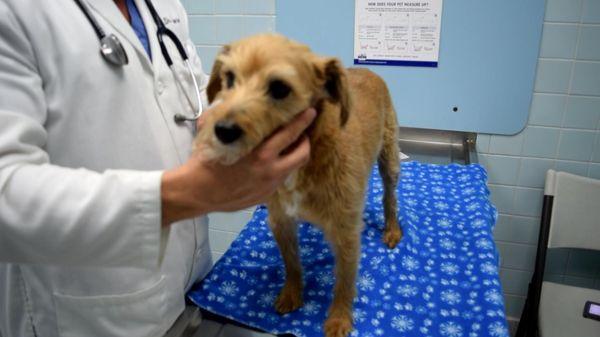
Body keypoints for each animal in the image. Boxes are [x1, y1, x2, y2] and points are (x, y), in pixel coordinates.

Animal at [197, 34, 400, 336]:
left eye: (280, 88)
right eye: (229, 78)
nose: (222, 130)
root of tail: (367, 69)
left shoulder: (347, 232)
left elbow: (345, 280)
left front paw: (339, 318)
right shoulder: (280, 220)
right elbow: (291, 262)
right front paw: (292, 293)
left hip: (389, 158)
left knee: (390, 196)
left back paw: (392, 229)